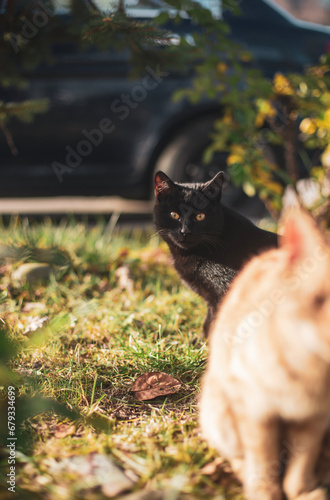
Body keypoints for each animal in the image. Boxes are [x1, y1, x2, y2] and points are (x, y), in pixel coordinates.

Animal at [200, 209, 330, 498]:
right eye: (318, 300)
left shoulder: (314, 421)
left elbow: (300, 466)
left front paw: (302, 491)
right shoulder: (254, 411)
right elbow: (263, 461)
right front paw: (264, 492)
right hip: (219, 412)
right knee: (238, 457)